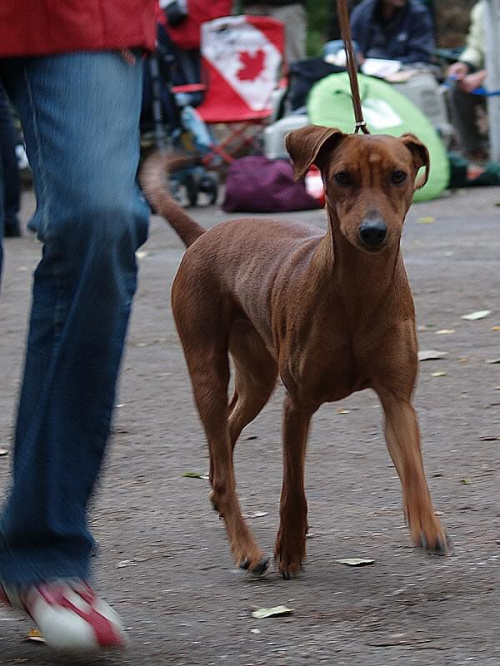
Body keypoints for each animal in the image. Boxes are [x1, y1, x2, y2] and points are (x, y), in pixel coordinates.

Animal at [140, 124, 450, 576]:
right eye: (342, 177)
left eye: (398, 176)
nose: (374, 231)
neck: (356, 292)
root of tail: (204, 235)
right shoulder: (298, 404)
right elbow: (294, 488)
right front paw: (289, 546)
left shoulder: (397, 399)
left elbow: (413, 468)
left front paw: (427, 524)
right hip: (207, 369)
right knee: (224, 460)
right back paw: (246, 548)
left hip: (257, 378)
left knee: (225, 436)